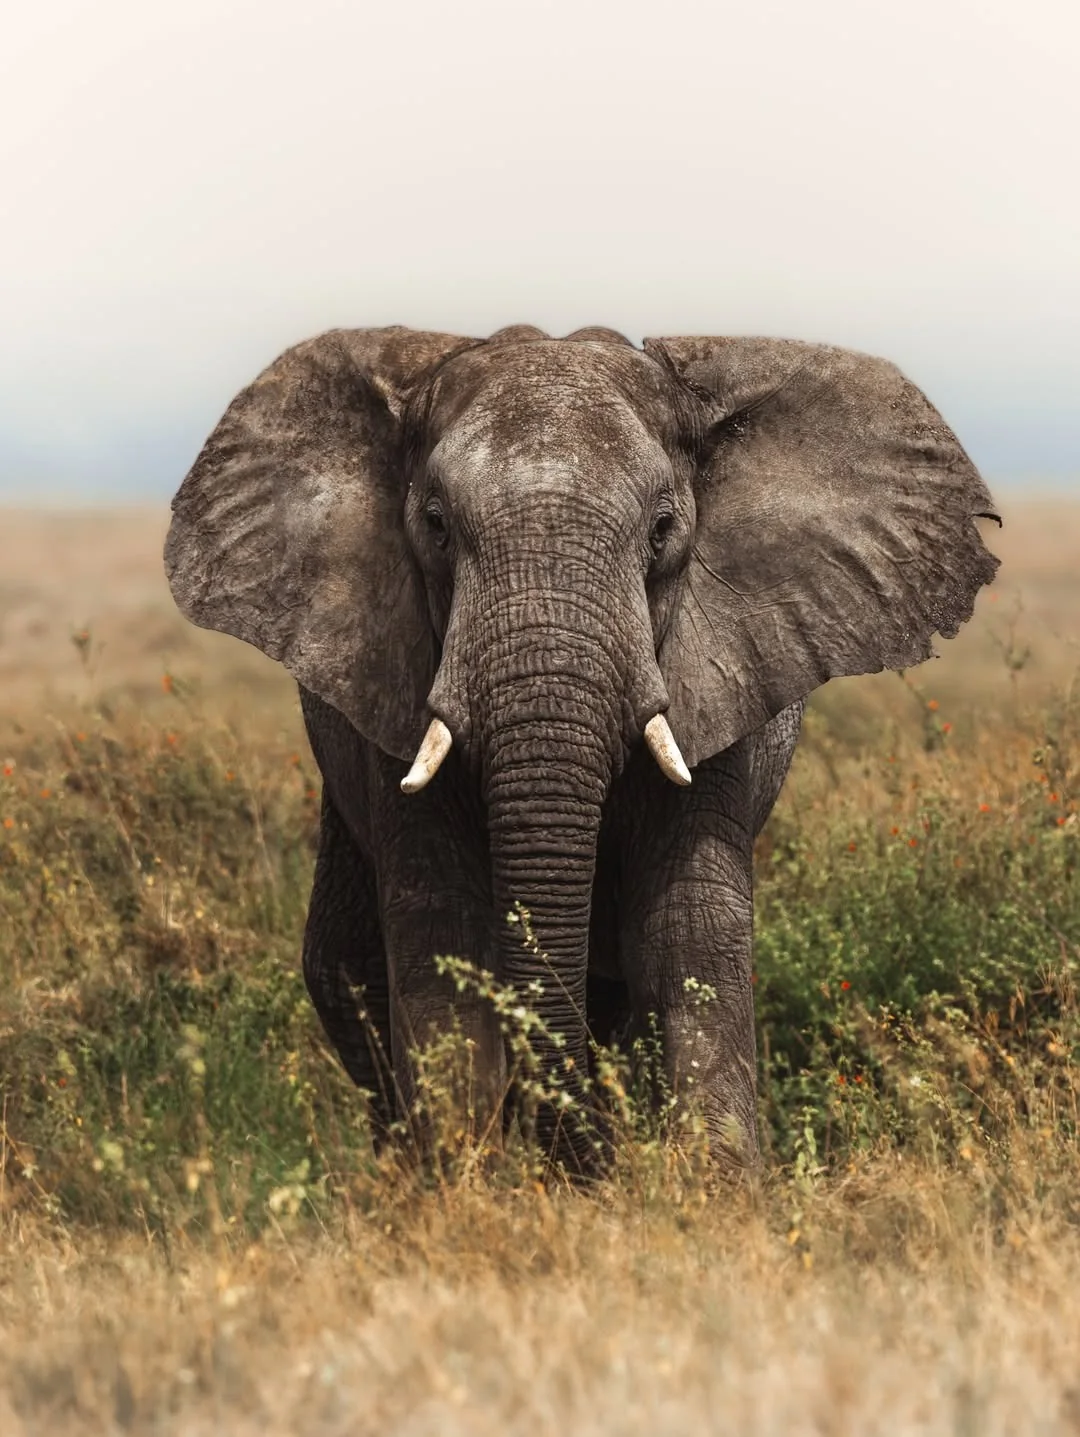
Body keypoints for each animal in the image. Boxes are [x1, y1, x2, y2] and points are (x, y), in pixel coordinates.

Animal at [164, 323, 999, 1173]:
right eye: (435, 525)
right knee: (346, 968)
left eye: (662, 532)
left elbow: (685, 929)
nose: (571, 1150)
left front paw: (716, 1184)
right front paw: (463, 1184)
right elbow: (442, 928)